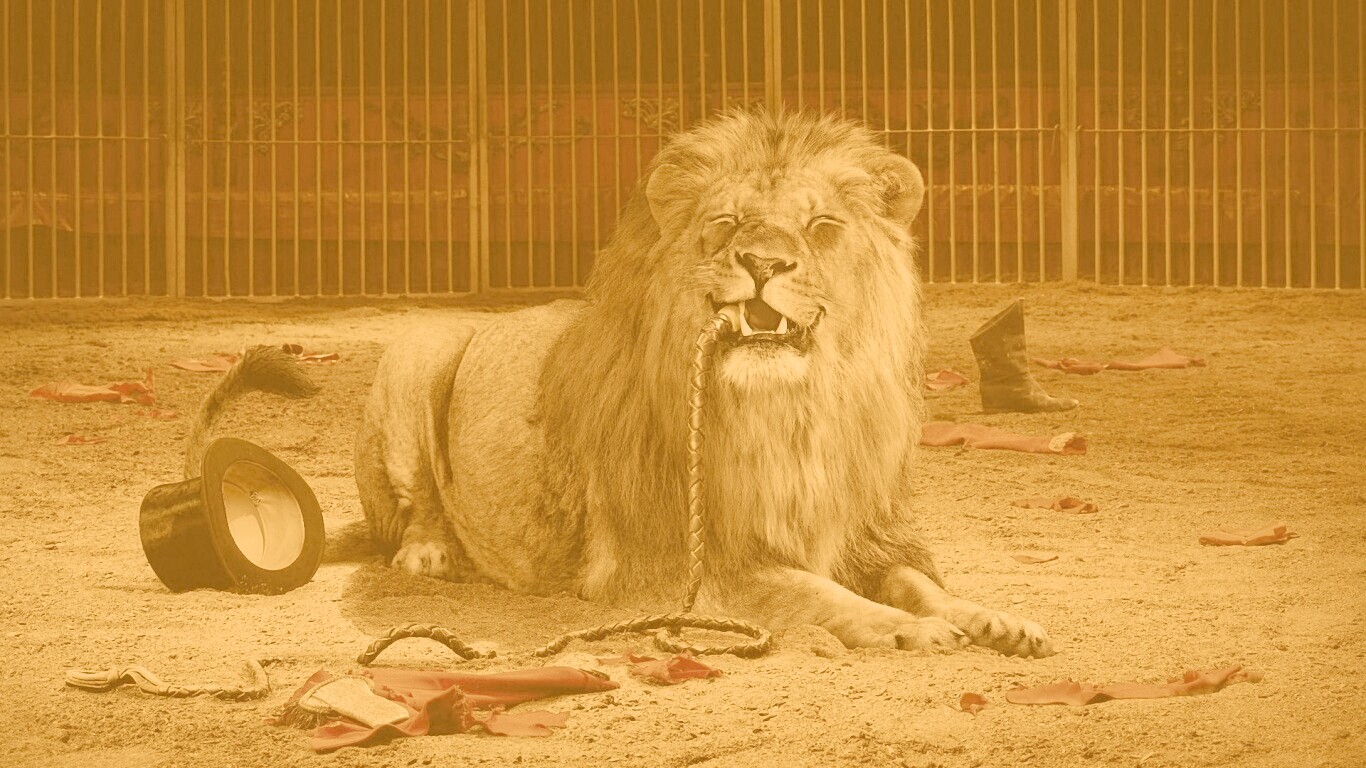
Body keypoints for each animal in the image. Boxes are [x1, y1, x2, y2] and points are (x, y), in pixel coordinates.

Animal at [355, 110, 1053, 658]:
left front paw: (995, 620)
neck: (790, 413)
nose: (763, 262)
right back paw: (428, 554)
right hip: (418, 348)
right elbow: (815, 594)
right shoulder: (676, 564)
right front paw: (909, 629)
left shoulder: (867, 532)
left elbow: (922, 584)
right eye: (727, 222)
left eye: (822, 225)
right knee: (415, 501)